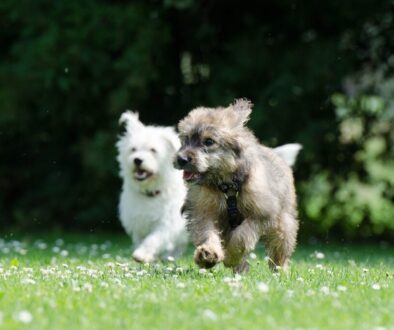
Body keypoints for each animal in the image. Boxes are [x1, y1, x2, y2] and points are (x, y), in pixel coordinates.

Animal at [116, 111, 187, 262]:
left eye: (153, 150)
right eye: (133, 149)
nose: (137, 160)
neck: (150, 192)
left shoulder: (166, 224)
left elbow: (153, 239)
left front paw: (142, 254)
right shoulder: (138, 223)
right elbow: (140, 240)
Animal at [175, 98, 298, 274]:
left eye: (209, 141)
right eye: (186, 139)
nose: (181, 159)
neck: (227, 187)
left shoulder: (262, 214)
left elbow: (242, 237)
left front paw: (230, 256)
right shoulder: (203, 212)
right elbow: (207, 233)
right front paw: (208, 254)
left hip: (283, 225)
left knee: (279, 252)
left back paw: (280, 272)